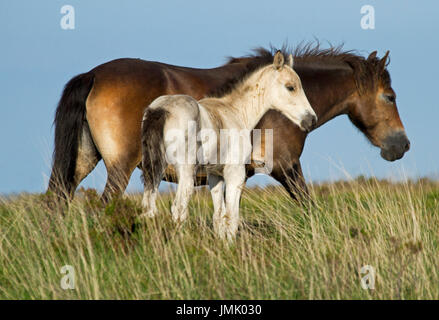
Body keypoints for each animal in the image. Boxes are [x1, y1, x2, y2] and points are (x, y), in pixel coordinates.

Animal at [47, 44, 410, 201]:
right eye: (390, 97)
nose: (402, 145)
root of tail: (94, 74)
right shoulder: (286, 167)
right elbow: (308, 206)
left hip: (81, 162)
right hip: (120, 168)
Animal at [141, 50, 316, 240]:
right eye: (290, 87)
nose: (311, 119)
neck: (236, 112)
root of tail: (161, 109)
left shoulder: (215, 175)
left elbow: (219, 215)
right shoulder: (235, 172)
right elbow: (232, 216)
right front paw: (230, 244)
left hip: (156, 168)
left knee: (148, 207)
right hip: (186, 171)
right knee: (178, 208)